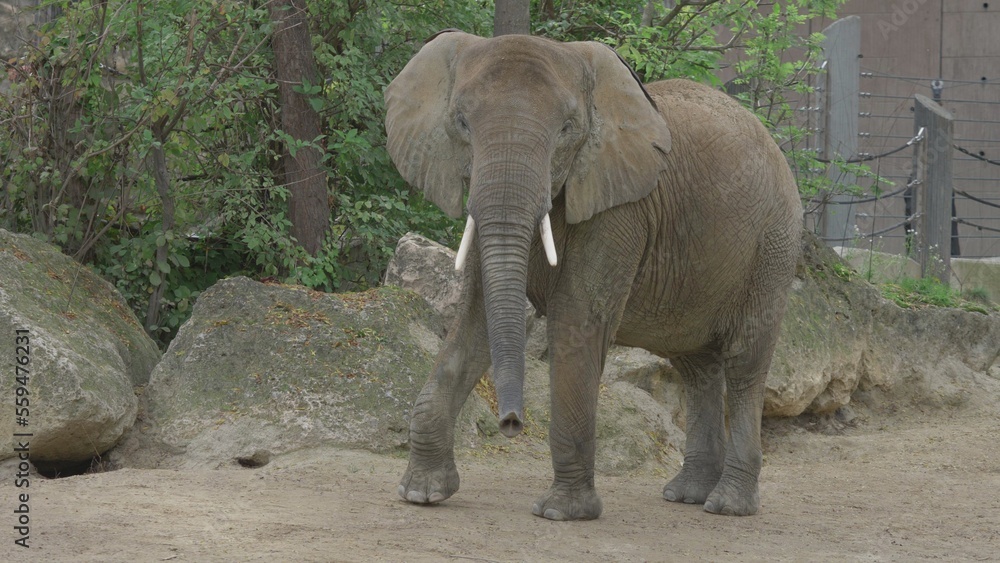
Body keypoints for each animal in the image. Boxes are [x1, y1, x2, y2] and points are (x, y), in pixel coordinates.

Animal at [386, 30, 800, 524]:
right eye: (462, 122)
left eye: (567, 128)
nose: (511, 424)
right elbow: (475, 320)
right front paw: (420, 493)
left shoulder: (620, 210)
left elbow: (576, 320)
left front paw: (561, 512)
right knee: (696, 366)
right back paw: (686, 494)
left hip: (771, 248)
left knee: (743, 363)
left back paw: (727, 505)